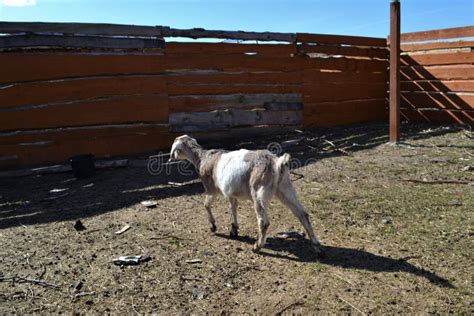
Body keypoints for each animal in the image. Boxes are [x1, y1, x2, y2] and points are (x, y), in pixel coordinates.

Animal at [168, 135, 324, 256]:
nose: (173, 157)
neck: (202, 157)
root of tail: (276, 162)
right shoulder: (230, 193)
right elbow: (233, 208)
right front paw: (234, 229)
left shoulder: (211, 189)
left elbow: (206, 205)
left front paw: (213, 226)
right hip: (286, 189)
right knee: (303, 214)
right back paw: (317, 247)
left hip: (258, 191)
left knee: (264, 222)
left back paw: (257, 247)